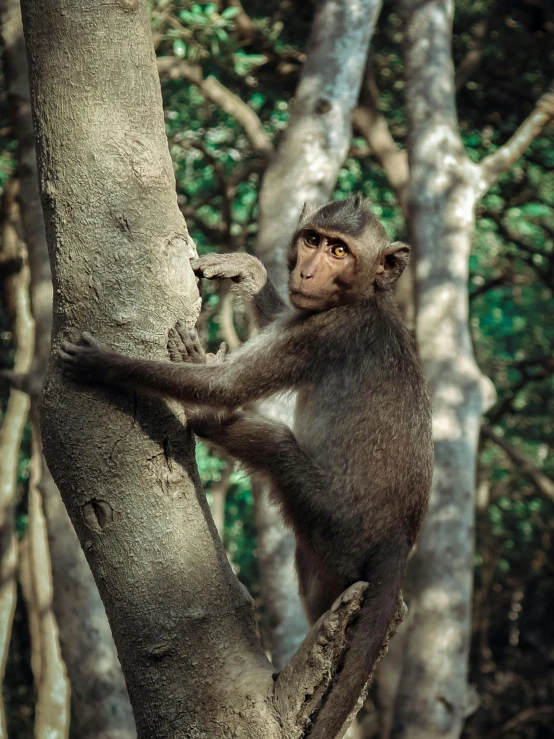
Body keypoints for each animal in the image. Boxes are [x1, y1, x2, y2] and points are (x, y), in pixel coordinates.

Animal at [59, 197, 432, 739]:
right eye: (314, 240)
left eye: (340, 251)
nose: (308, 271)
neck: (365, 297)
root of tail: (400, 538)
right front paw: (246, 271)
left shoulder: (323, 334)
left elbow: (228, 384)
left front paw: (105, 364)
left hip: (337, 519)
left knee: (276, 447)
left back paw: (204, 418)